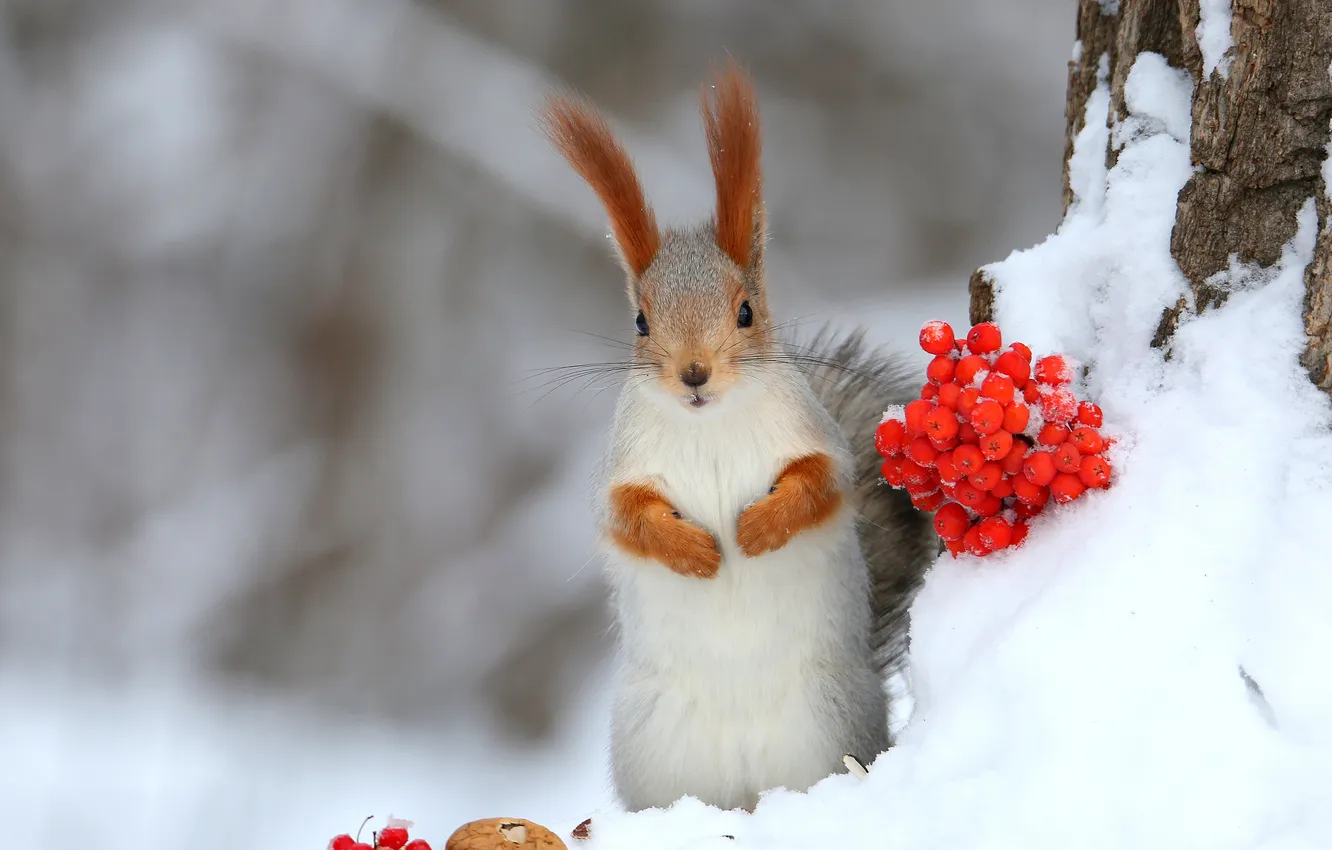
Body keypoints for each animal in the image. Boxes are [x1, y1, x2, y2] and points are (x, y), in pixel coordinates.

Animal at [540, 61, 934, 813]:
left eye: (746, 311)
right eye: (640, 321)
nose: (694, 373)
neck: (711, 424)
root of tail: (748, 792)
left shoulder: (819, 443)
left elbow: (816, 487)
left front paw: (754, 531)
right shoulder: (624, 467)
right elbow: (628, 517)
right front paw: (694, 552)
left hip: (824, 722)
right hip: (656, 748)